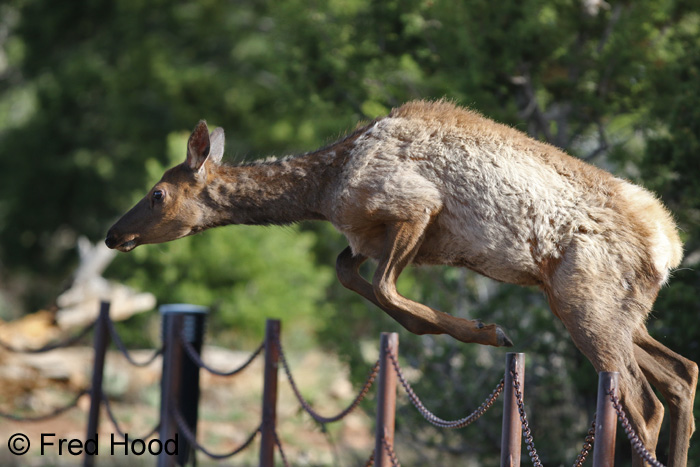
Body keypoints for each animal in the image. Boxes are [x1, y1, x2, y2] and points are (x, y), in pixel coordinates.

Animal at [106, 100, 697, 466]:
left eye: (158, 194)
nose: (113, 234)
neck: (325, 188)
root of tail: (670, 245)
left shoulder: (414, 206)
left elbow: (385, 289)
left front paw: (489, 331)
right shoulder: (366, 236)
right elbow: (350, 275)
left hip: (584, 300)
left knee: (643, 401)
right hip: (614, 310)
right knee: (682, 373)